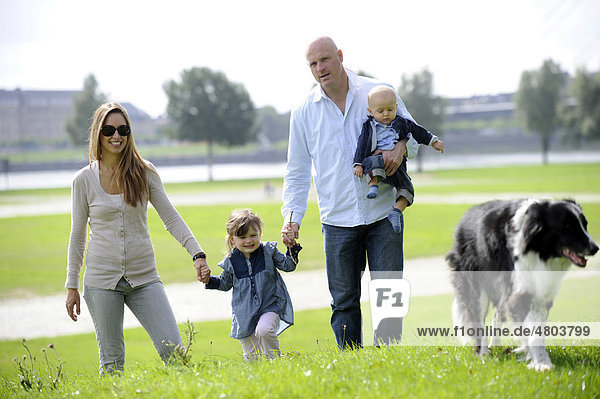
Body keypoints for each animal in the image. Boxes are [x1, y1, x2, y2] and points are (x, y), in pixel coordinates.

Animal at [446, 200, 596, 372]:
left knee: (497, 315)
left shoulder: (542, 294)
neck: (538, 250)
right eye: (567, 227)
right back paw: (483, 355)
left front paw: (542, 363)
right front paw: (539, 363)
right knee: (478, 317)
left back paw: (495, 345)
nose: (595, 248)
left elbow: (537, 332)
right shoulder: (519, 291)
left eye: (585, 225)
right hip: (475, 283)